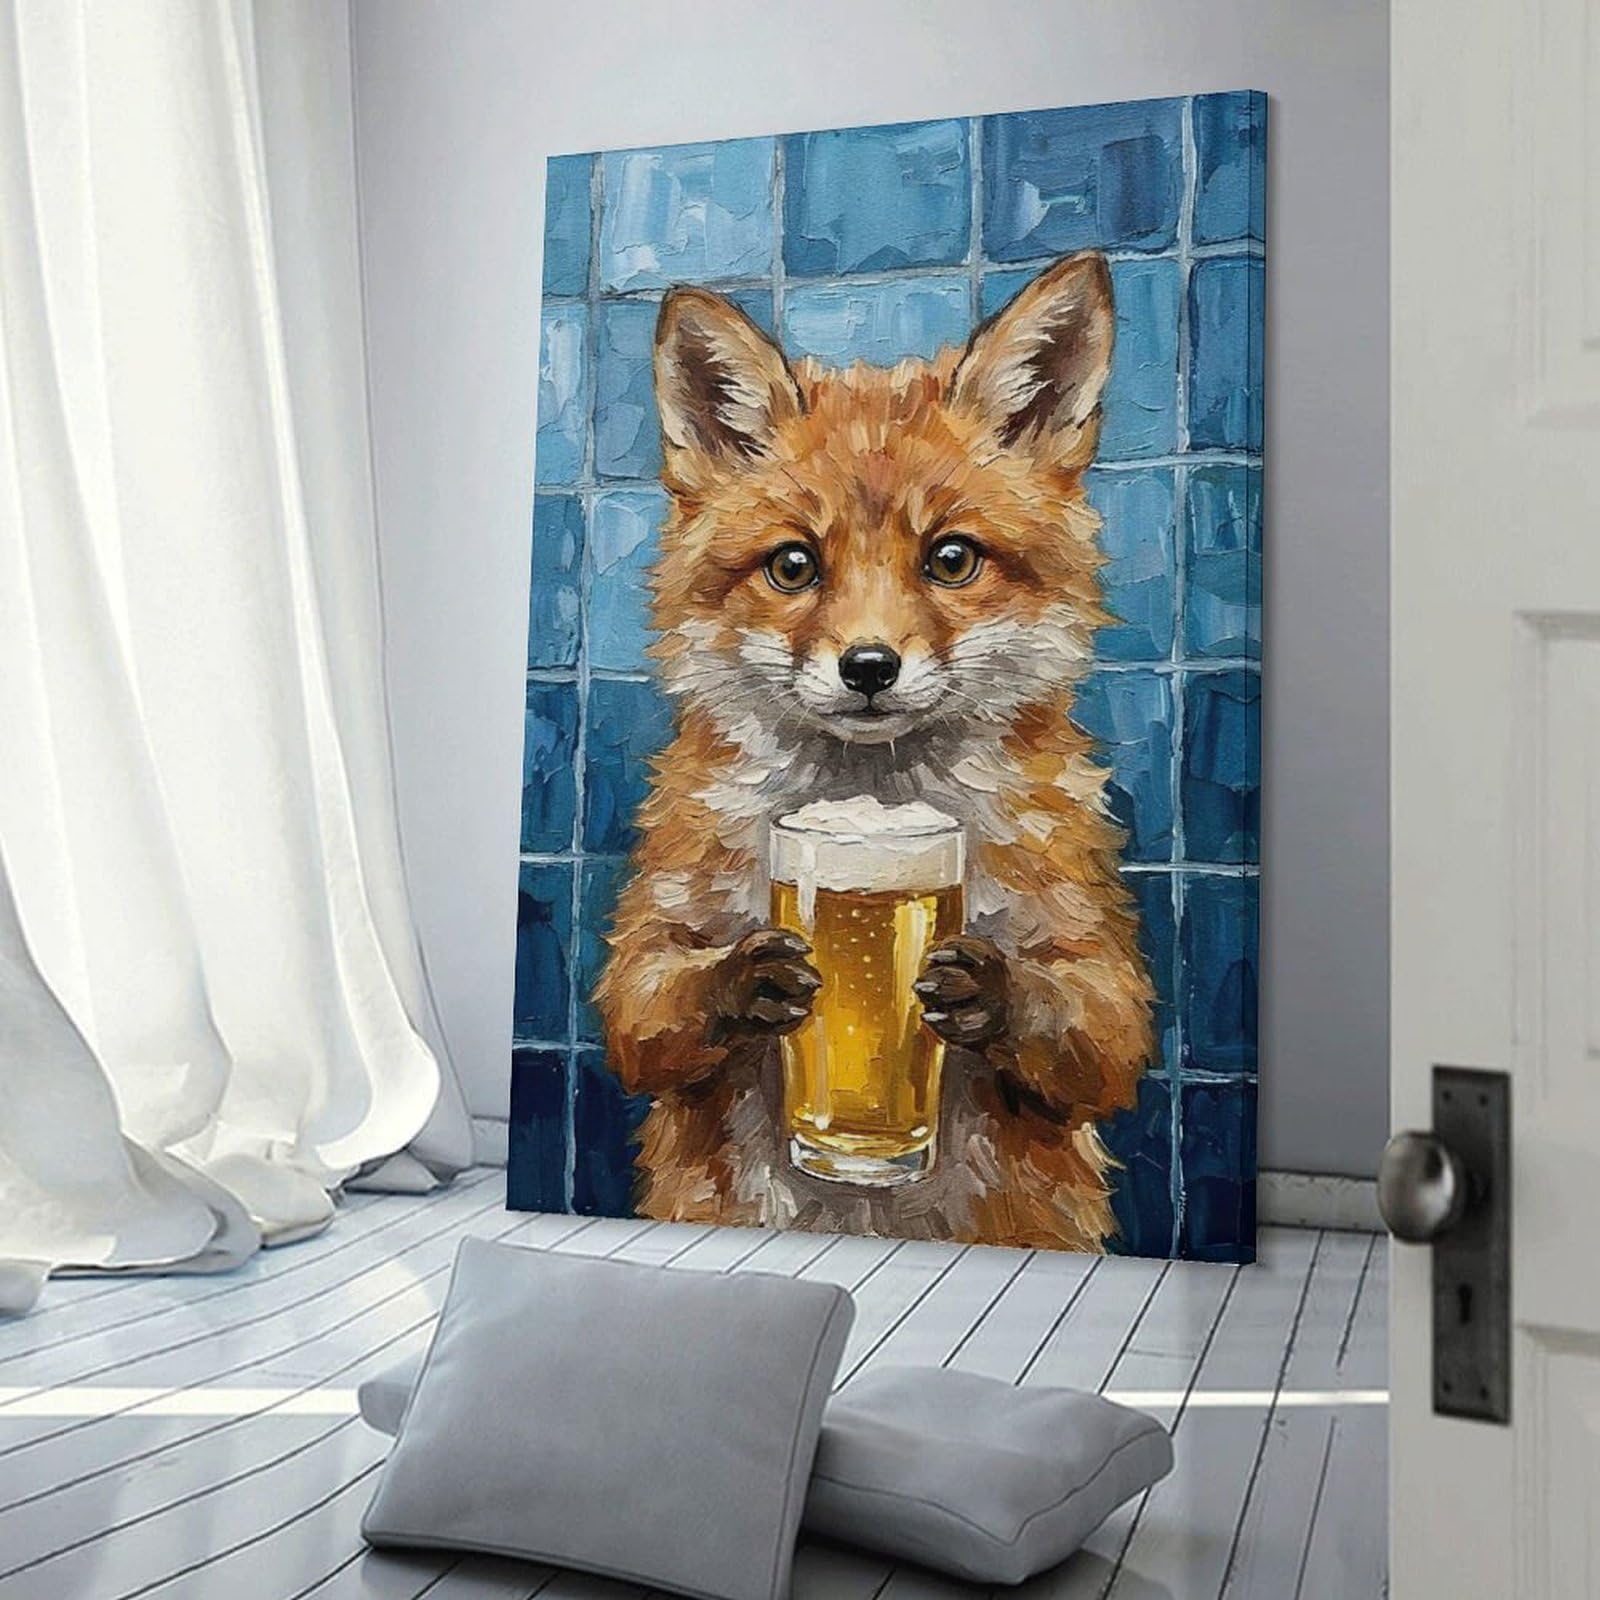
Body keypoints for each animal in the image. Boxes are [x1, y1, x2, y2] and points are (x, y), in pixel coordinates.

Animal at [593, 250, 1155, 1252]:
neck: (873, 800)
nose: (868, 666)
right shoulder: (654, 933)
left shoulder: (1093, 950)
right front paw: (751, 979)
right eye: (793, 566)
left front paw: (987, 993)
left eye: (952, 559)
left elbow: (1102, 1031)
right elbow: (645, 1011)